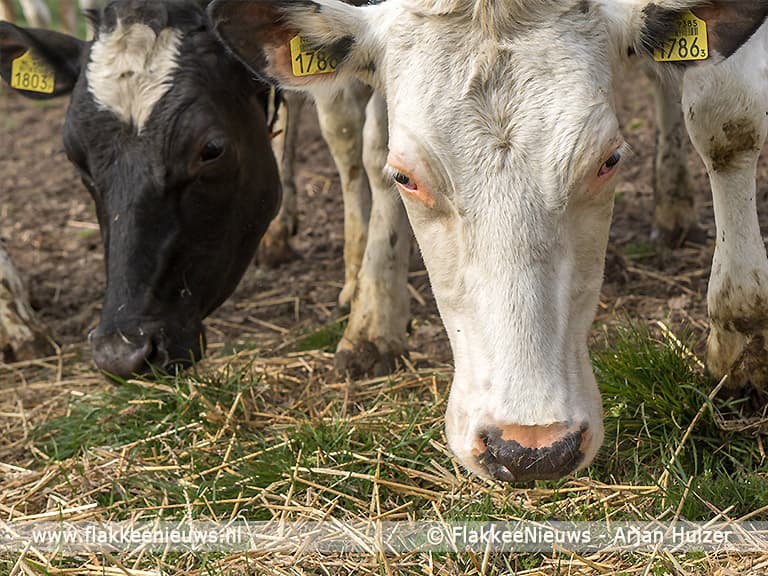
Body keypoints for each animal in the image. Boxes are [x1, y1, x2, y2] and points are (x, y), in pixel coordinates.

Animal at [208, 0, 768, 482]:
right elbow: (369, 140)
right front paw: (372, 323)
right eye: (406, 176)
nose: (531, 448)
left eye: (608, 160)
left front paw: (740, 347)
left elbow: (725, 119)